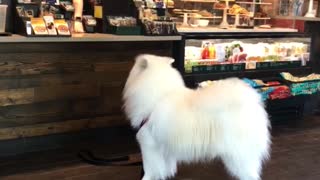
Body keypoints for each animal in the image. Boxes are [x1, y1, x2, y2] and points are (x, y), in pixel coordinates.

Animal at [122, 54, 270, 180]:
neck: (159, 95)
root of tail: (252, 102)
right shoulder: (165, 148)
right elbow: (164, 168)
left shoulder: (149, 145)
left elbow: (150, 169)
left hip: (238, 155)